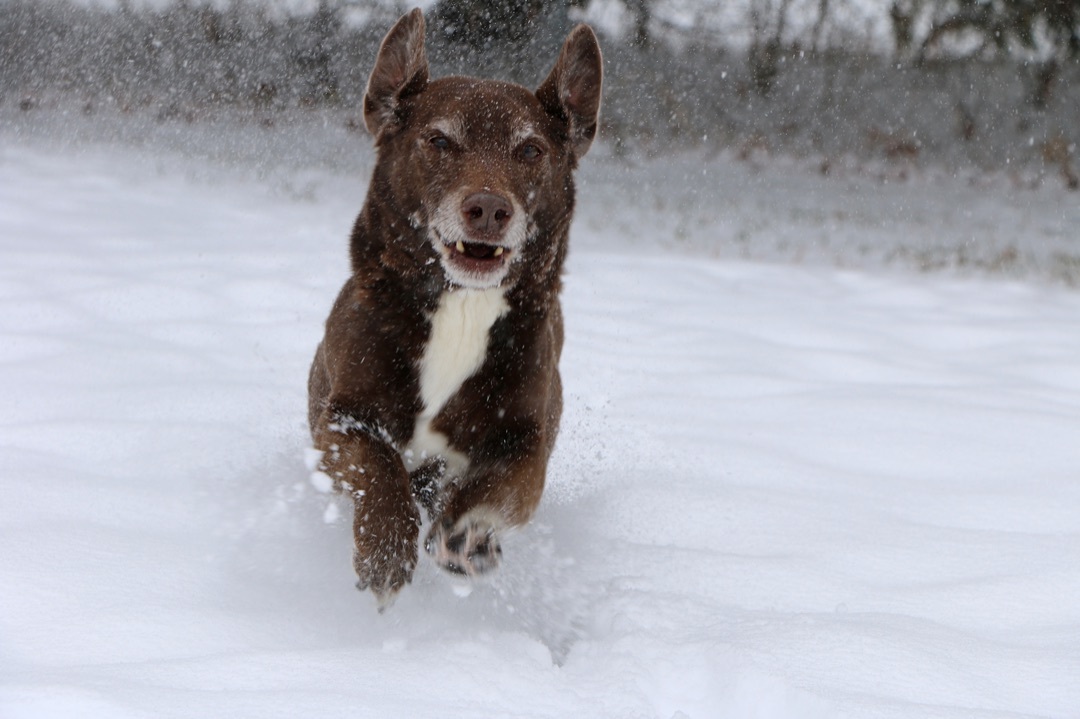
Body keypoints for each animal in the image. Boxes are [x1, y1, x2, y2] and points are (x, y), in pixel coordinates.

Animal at [308, 8, 604, 608]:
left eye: (530, 150)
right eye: (439, 140)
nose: (488, 208)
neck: (462, 306)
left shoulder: (527, 436)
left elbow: (507, 486)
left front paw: (468, 533)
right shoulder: (341, 418)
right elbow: (378, 467)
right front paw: (385, 550)